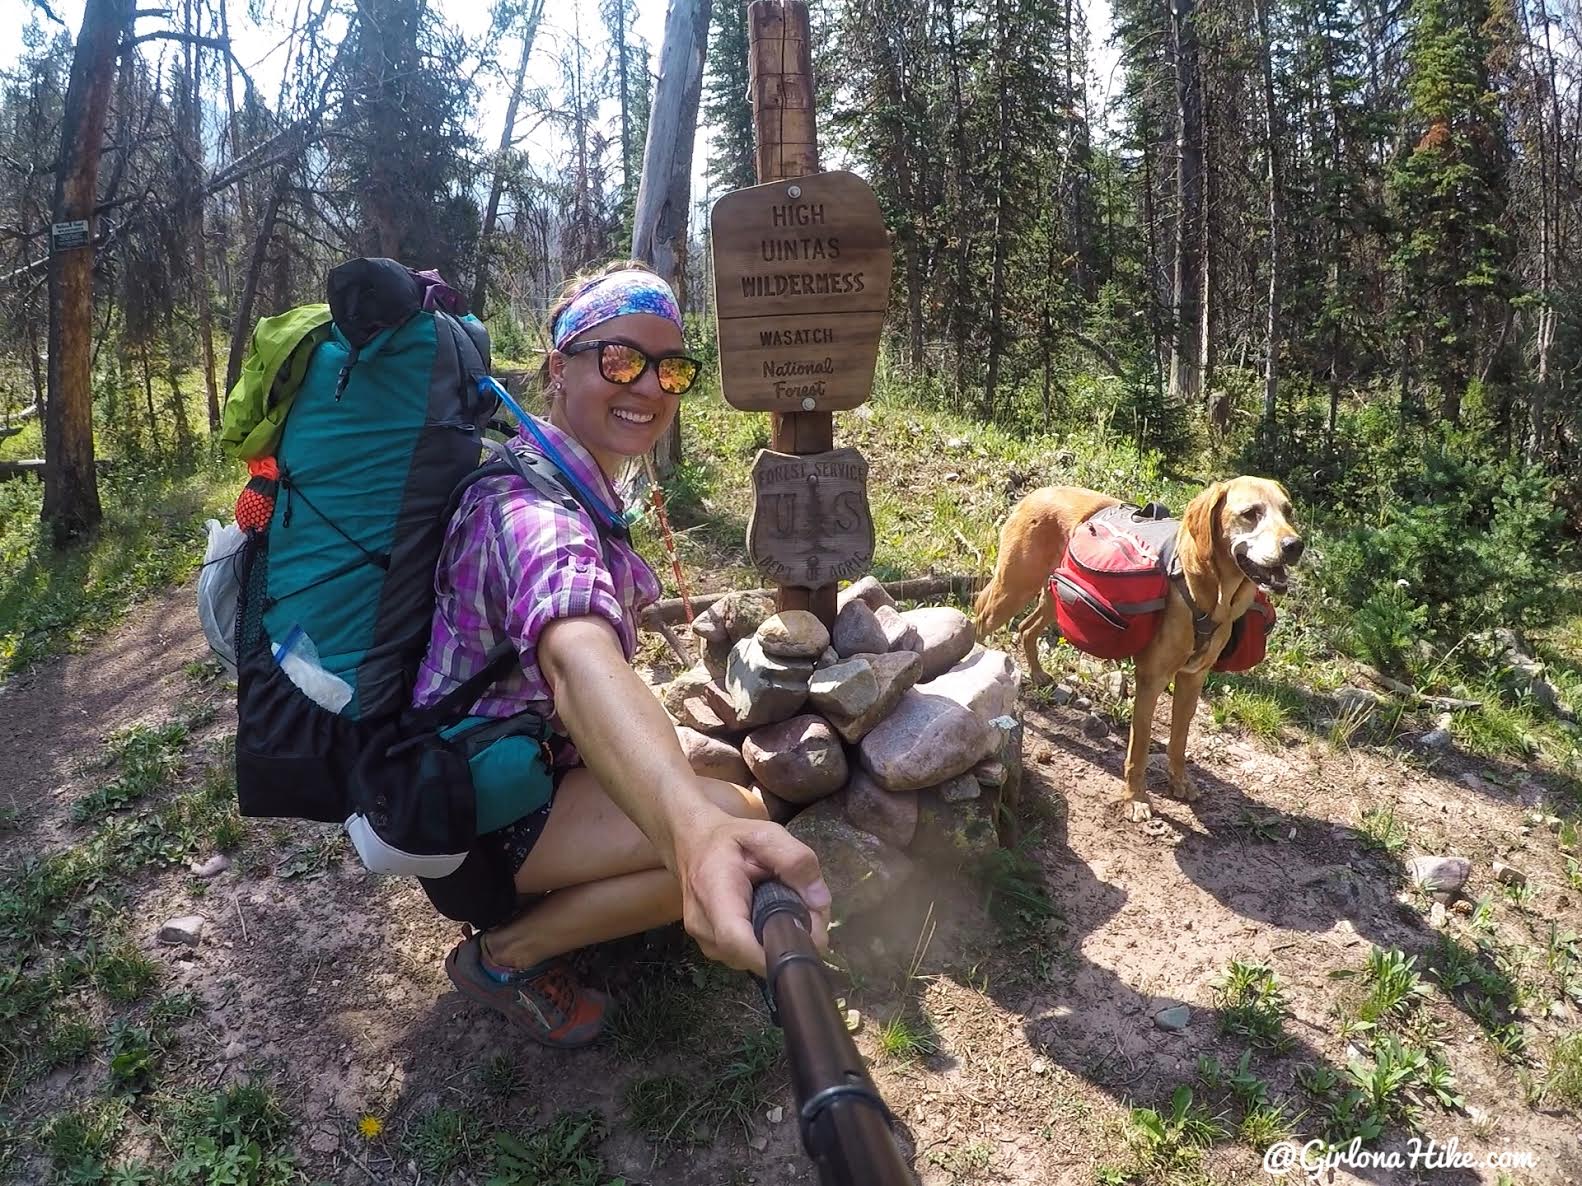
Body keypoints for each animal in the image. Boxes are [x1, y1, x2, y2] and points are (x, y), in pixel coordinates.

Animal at [974, 477, 1297, 822]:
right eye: (1250, 513)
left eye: (1288, 511)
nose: (1295, 545)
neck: (1213, 594)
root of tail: (1038, 492)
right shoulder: (1152, 679)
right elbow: (1139, 748)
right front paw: (1136, 799)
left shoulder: (1192, 678)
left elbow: (1178, 741)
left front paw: (1179, 781)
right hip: (1012, 589)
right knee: (979, 622)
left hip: (1057, 595)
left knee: (1026, 627)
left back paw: (1037, 674)